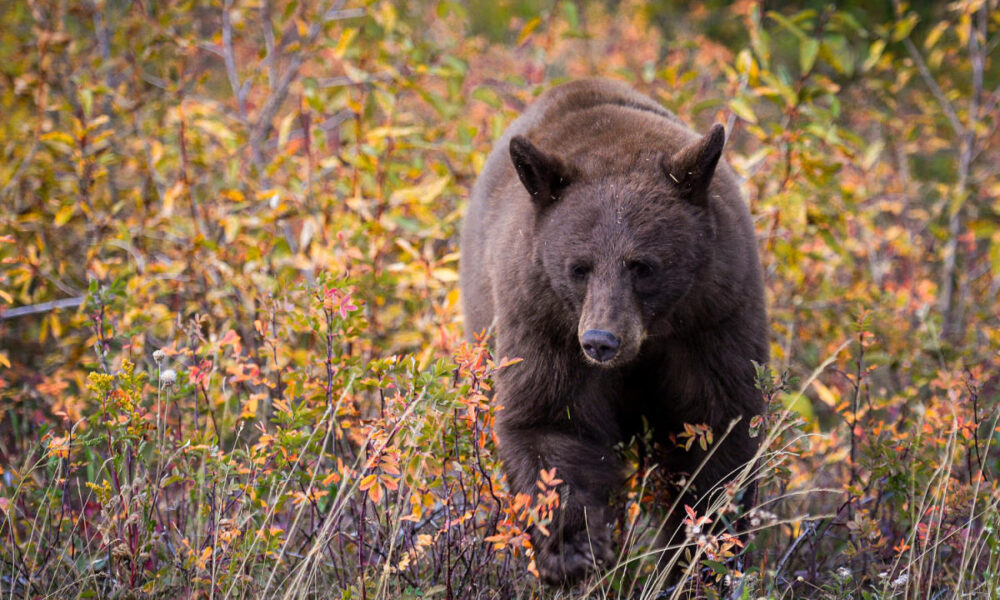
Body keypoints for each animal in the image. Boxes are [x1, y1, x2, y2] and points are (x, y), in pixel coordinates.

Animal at [458, 77, 768, 584]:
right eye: (578, 267)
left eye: (642, 266)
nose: (601, 342)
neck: (648, 342)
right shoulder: (543, 319)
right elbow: (551, 422)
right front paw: (573, 552)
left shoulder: (715, 316)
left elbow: (716, 429)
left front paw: (700, 555)